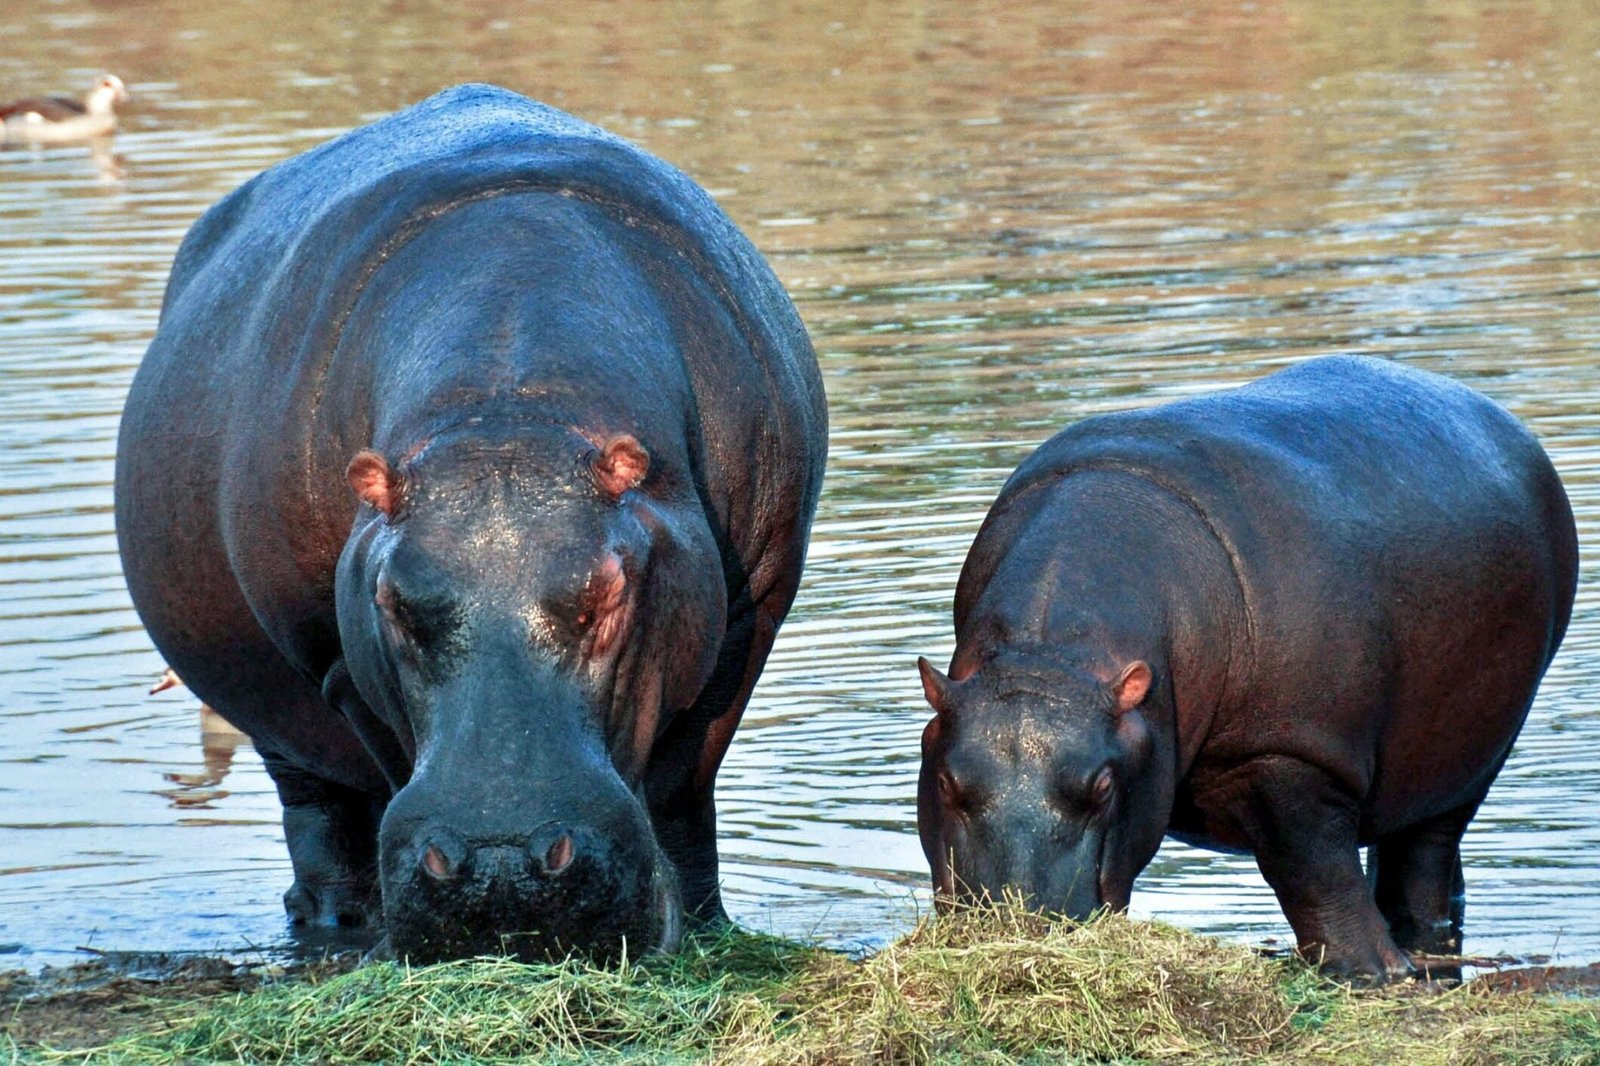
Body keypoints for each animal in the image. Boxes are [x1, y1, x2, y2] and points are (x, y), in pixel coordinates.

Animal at [114, 85, 827, 962]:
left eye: (608, 594)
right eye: (392, 603)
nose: (502, 865)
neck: (511, 403)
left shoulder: (744, 623)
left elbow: (683, 788)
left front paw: (698, 929)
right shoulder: (336, 661)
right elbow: (384, 762)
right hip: (274, 714)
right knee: (317, 816)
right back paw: (339, 925)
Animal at [916, 356, 1576, 981]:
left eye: (1101, 787)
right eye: (945, 782)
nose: (1017, 927)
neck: (1053, 659)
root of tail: (1501, 419)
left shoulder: (1292, 753)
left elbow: (1314, 870)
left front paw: (1373, 973)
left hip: (1474, 754)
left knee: (1424, 857)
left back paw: (1417, 945)